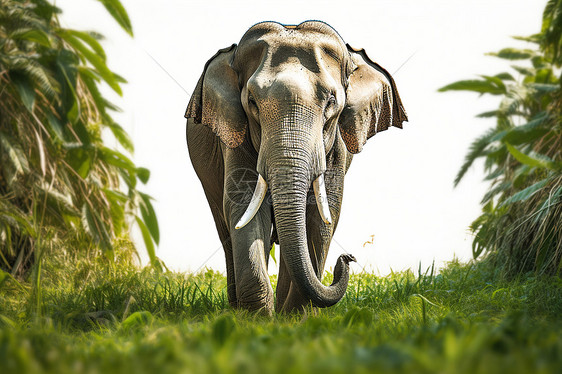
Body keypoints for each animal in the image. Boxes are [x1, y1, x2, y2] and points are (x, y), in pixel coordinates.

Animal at [186, 19, 404, 312]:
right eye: (252, 102)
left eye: (331, 101)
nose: (349, 257)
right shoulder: (234, 134)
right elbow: (243, 205)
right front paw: (257, 318)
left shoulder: (336, 147)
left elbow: (323, 214)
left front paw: (292, 317)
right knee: (228, 230)